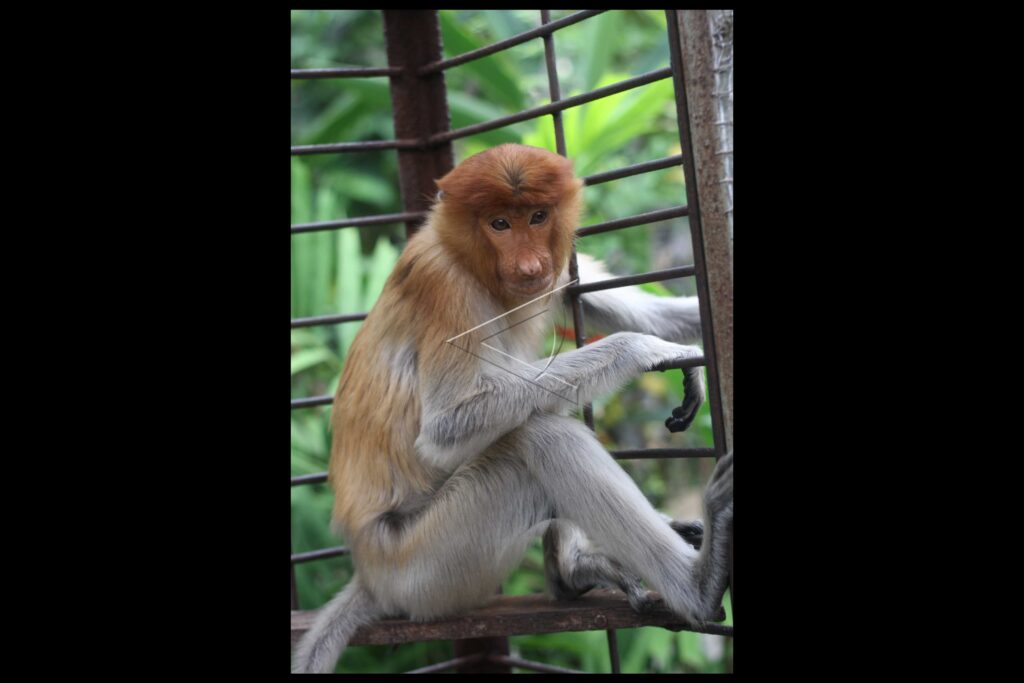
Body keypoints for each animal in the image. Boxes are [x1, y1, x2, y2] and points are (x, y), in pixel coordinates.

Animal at [291, 143, 733, 674]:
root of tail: (371, 572)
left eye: (538, 217)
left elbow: (625, 308)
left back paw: (576, 570)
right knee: (540, 439)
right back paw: (698, 586)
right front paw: (644, 350)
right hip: (426, 566)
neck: (469, 258)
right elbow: (446, 426)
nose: (529, 266)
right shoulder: (445, 286)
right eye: (499, 223)